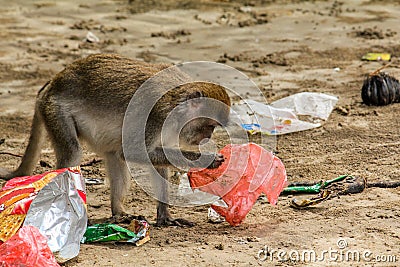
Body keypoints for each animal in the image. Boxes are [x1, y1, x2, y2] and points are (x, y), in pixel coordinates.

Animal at [0, 53, 231, 227]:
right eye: (209, 126)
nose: (207, 137)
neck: (177, 101)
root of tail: (51, 84)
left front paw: (165, 216)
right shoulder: (155, 115)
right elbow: (133, 151)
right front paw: (208, 159)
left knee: (113, 156)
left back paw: (118, 213)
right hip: (55, 111)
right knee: (74, 152)